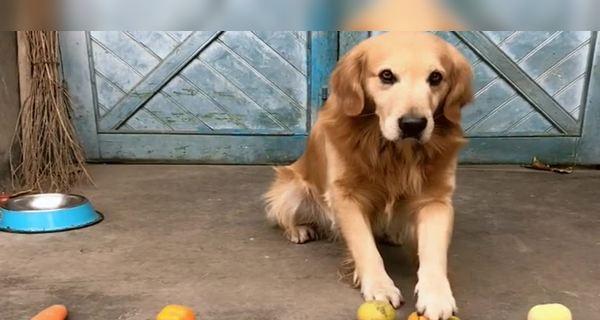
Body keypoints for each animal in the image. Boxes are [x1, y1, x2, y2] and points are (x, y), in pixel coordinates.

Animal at [264, 31, 472, 318]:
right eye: (386, 75)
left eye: (436, 77)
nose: (413, 124)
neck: (393, 152)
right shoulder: (345, 195)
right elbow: (366, 247)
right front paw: (380, 286)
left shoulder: (436, 200)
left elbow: (435, 252)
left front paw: (437, 296)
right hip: (290, 189)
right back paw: (298, 230)